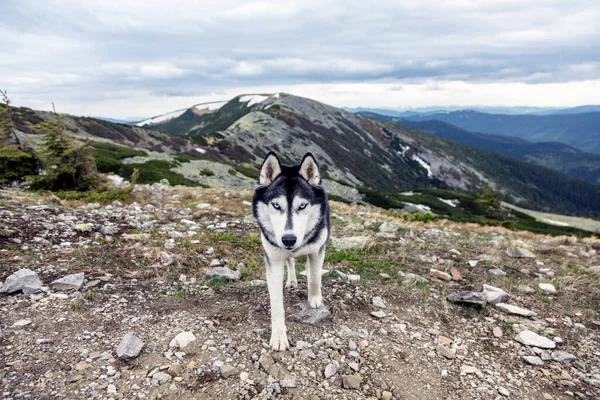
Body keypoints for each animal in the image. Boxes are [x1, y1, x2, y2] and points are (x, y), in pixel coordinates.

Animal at [252, 152, 330, 350]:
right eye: (276, 205)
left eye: (302, 206)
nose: (288, 239)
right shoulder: (273, 260)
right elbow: (276, 305)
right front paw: (279, 336)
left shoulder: (317, 249)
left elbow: (315, 278)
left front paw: (315, 298)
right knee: (291, 261)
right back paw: (292, 280)